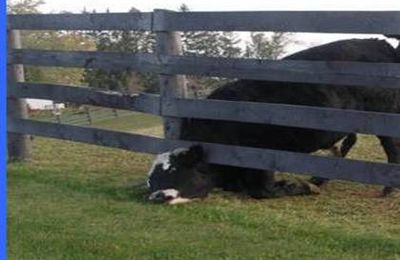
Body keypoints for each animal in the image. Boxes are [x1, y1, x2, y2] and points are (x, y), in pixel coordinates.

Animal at [147, 38, 400, 205]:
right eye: (150, 180)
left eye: (173, 169)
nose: (155, 195)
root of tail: (379, 43)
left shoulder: (262, 156)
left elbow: (262, 191)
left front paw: (301, 186)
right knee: (348, 144)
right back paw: (320, 178)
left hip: (384, 117)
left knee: (392, 148)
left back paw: (386, 188)